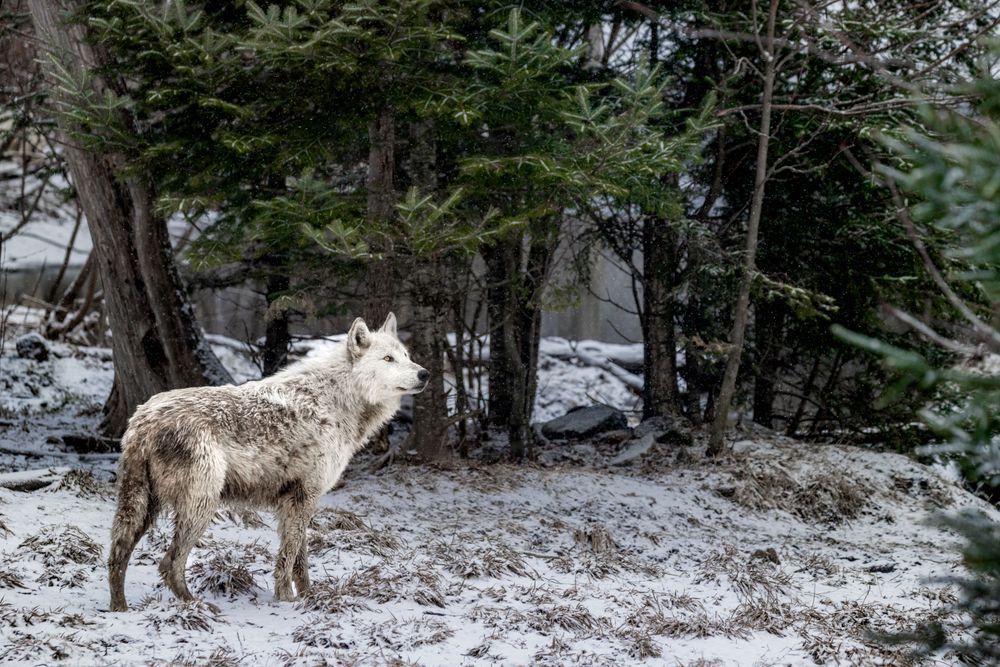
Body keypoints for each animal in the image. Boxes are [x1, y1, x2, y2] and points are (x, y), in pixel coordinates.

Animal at [107, 313, 426, 612]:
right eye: (388, 359)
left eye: (406, 355)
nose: (425, 373)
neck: (335, 402)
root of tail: (142, 420)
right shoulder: (303, 496)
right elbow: (288, 557)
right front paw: (286, 599)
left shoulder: (295, 501)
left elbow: (300, 560)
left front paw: (309, 596)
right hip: (200, 506)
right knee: (168, 564)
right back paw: (198, 607)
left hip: (142, 509)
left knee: (116, 557)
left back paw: (120, 610)